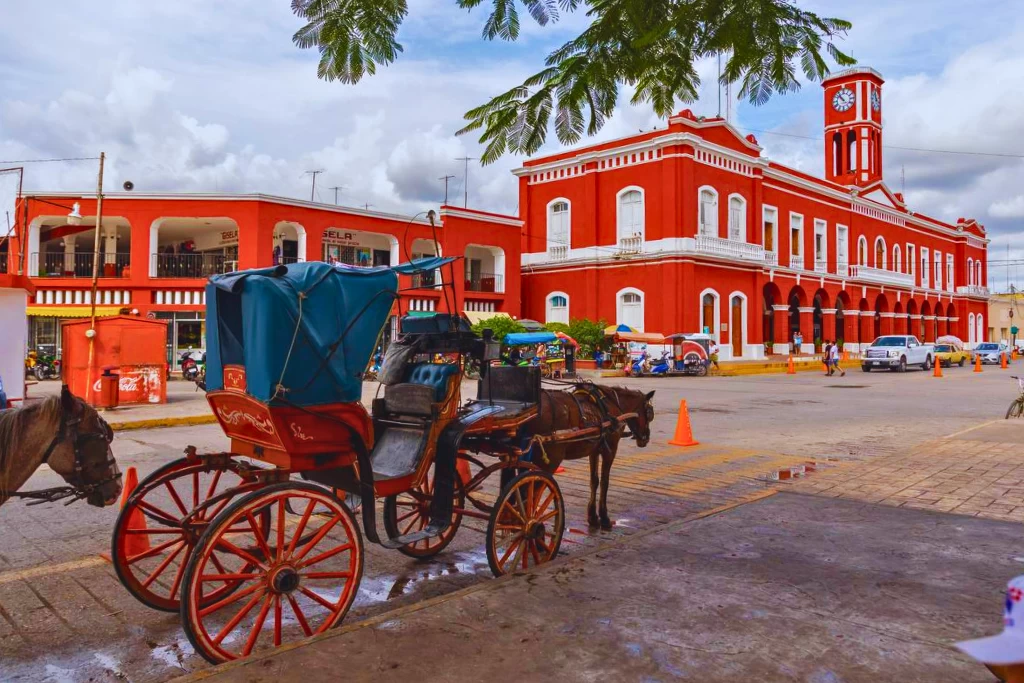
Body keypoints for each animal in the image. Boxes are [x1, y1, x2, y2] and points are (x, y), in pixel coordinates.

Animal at [528, 385, 655, 528]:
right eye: (649, 414)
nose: (645, 438)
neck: (613, 405)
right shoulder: (610, 450)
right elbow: (605, 481)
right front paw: (604, 517)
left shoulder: (594, 450)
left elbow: (594, 481)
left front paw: (593, 516)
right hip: (550, 459)